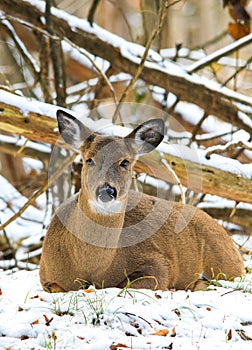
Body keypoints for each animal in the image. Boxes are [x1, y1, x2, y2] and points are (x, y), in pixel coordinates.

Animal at [39, 110, 244, 292]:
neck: (91, 268)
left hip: (224, 261)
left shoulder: (158, 263)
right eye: (89, 160)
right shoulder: (44, 275)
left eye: (125, 162)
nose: (106, 190)